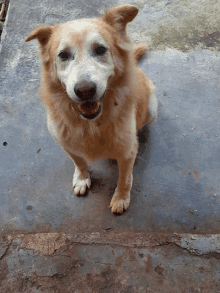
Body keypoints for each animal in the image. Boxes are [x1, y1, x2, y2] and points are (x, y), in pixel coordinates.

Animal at [24, 4, 157, 213]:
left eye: (101, 49)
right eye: (63, 55)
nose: (84, 90)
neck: (91, 125)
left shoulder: (127, 152)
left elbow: (125, 178)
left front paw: (121, 198)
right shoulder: (65, 141)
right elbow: (79, 161)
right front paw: (82, 178)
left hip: (152, 108)